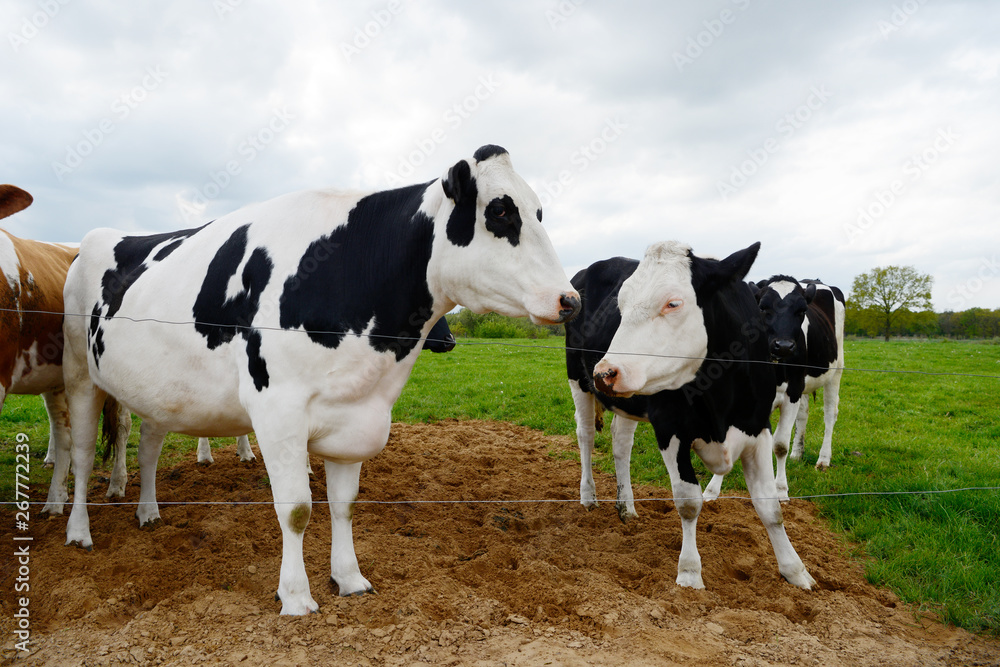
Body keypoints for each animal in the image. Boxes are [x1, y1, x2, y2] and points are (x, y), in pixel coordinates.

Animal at [54, 146, 584, 616]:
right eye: (500, 211)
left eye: (539, 211)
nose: (570, 299)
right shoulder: (278, 412)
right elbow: (296, 510)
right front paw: (295, 597)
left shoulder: (352, 416)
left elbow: (343, 505)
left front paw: (349, 578)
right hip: (79, 374)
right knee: (81, 453)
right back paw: (78, 531)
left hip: (158, 393)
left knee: (147, 447)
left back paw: (148, 512)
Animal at [564, 243, 812, 592]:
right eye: (621, 305)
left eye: (673, 303)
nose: (605, 372)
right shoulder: (671, 429)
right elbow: (688, 501)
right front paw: (690, 573)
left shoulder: (756, 427)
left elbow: (770, 507)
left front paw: (795, 570)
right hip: (578, 377)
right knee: (585, 434)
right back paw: (588, 496)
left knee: (621, 444)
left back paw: (627, 507)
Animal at [700, 276, 848, 500]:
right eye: (763, 307)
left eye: (801, 311)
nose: (784, 346)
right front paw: (711, 490)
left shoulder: (791, 392)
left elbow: (779, 445)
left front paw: (780, 490)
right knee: (803, 415)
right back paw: (797, 453)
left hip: (835, 371)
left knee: (830, 415)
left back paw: (823, 460)